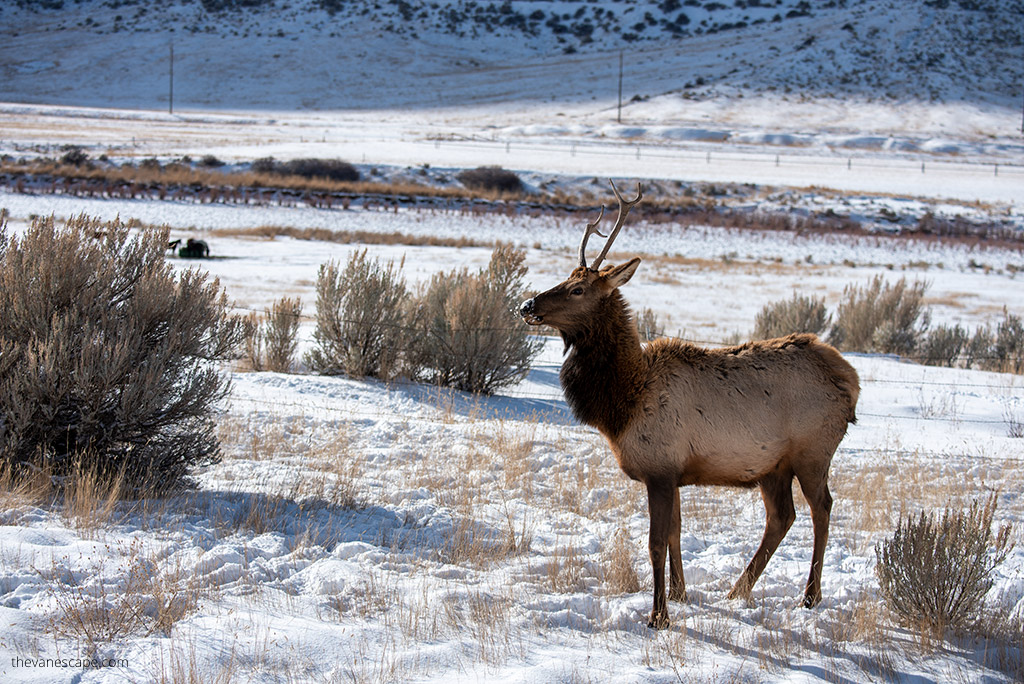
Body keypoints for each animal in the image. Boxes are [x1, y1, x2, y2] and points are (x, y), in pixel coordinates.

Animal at [516, 179, 860, 626]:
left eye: (577, 289)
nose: (527, 305)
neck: (622, 400)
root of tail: (850, 380)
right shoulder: (674, 471)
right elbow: (676, 533)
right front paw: (680, 595)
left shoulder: (660, 468)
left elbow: (655, 541)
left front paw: (658, 615)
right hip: (772, 466)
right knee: (782, 516)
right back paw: (737, 590)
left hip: (813, 452)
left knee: (822, 508)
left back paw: (810, 595)